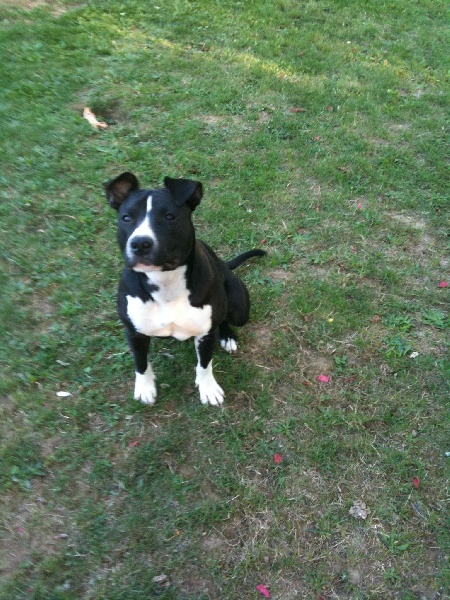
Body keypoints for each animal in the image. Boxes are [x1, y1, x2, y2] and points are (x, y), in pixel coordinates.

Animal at [104, 172, 266, 406]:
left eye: (169, 216)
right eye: (126, 218)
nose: (140, 243)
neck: (165, 281)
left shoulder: (206, 334)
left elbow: (204, 364)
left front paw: (208, 389)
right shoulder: (134, 332)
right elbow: (140, 363)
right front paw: (145, 388)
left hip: (239, 309)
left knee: (225, 319)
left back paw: (227, 337)